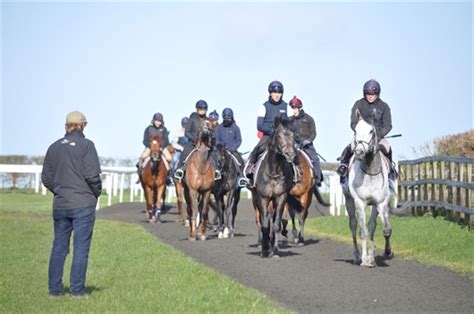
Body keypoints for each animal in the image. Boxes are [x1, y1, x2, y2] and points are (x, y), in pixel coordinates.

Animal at [252, 115, 296, 258]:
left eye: (293, 136)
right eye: (279, 136)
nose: (290, 155)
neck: (274, 170)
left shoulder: (281, 197)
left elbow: (276, 224)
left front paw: (275, 249)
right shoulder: (263, 198)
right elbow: (265, 225)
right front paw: (264, 249)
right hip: (256, 200)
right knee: (261, 221)